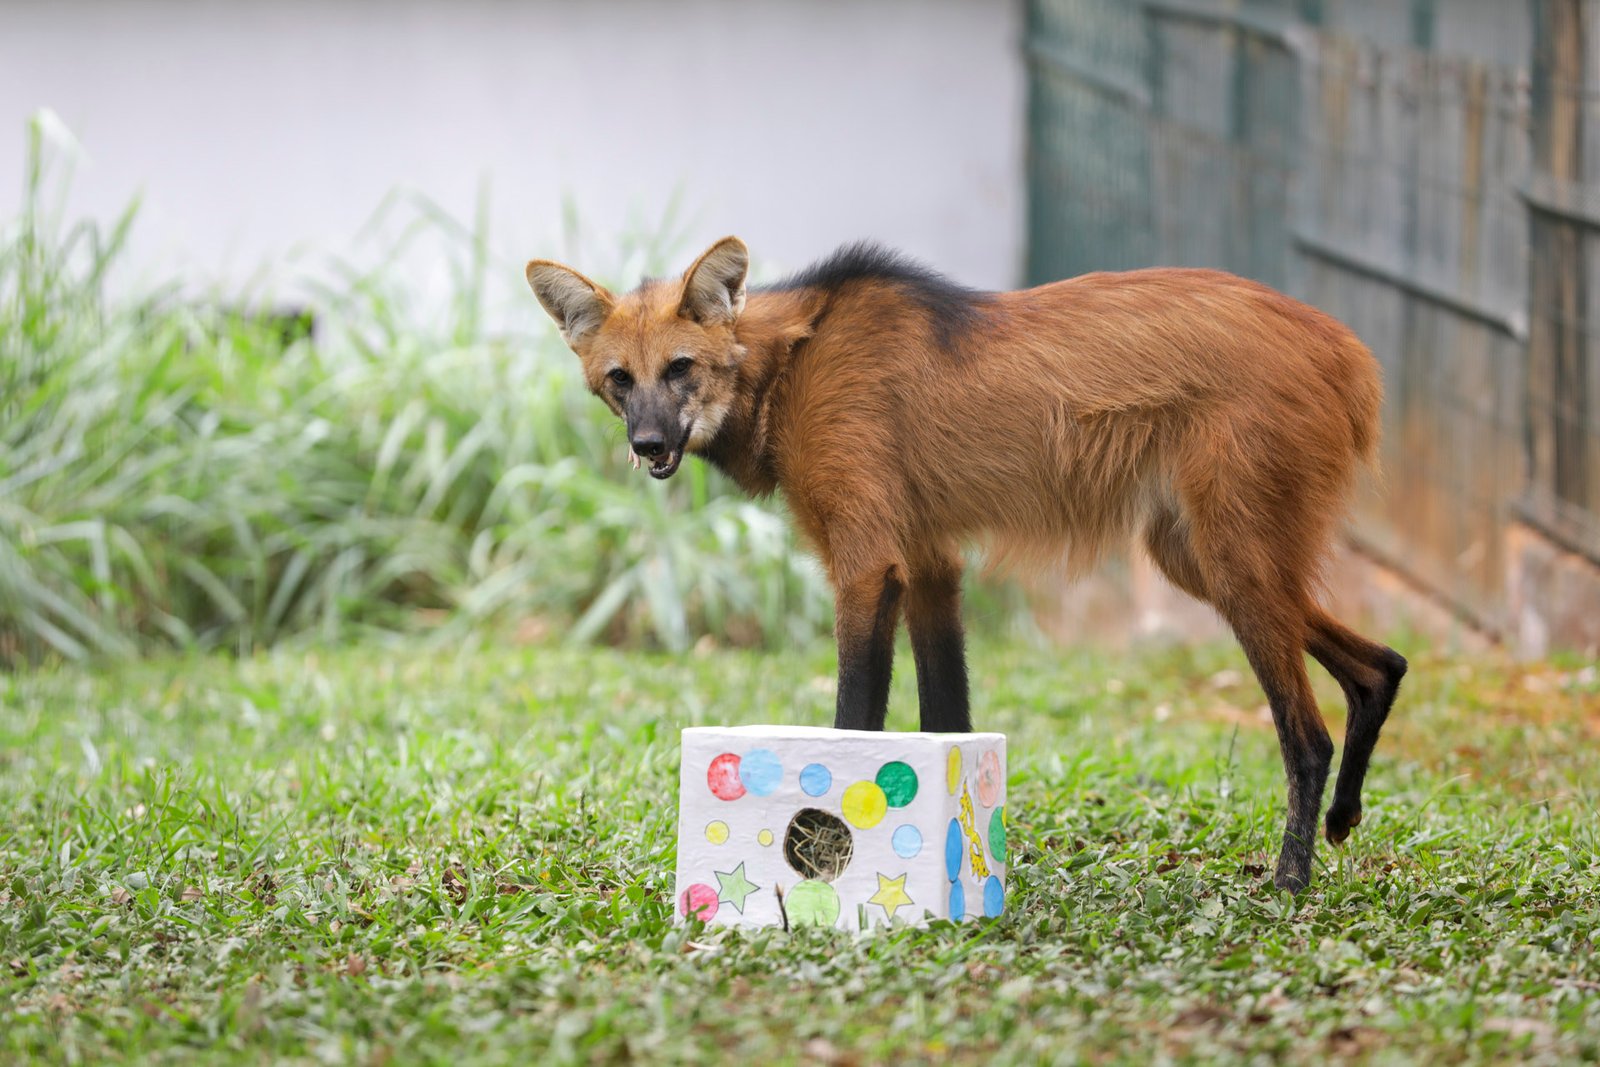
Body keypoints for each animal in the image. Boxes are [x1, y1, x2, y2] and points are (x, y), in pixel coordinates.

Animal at [524, 235, 1401, 895]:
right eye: (620, 380)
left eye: (680, 369)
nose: (649, 446)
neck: (790, 368)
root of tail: (1348, 347)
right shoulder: (929, 564)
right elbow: (949, 721)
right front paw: (959, 855)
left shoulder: (869, 564)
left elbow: (855, 724)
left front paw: (830, 853)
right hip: (1198, 558)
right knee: (1383, 663)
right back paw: (1344, 815)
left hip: (1230, 558)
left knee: (1305, 733)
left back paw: (1289, 881)